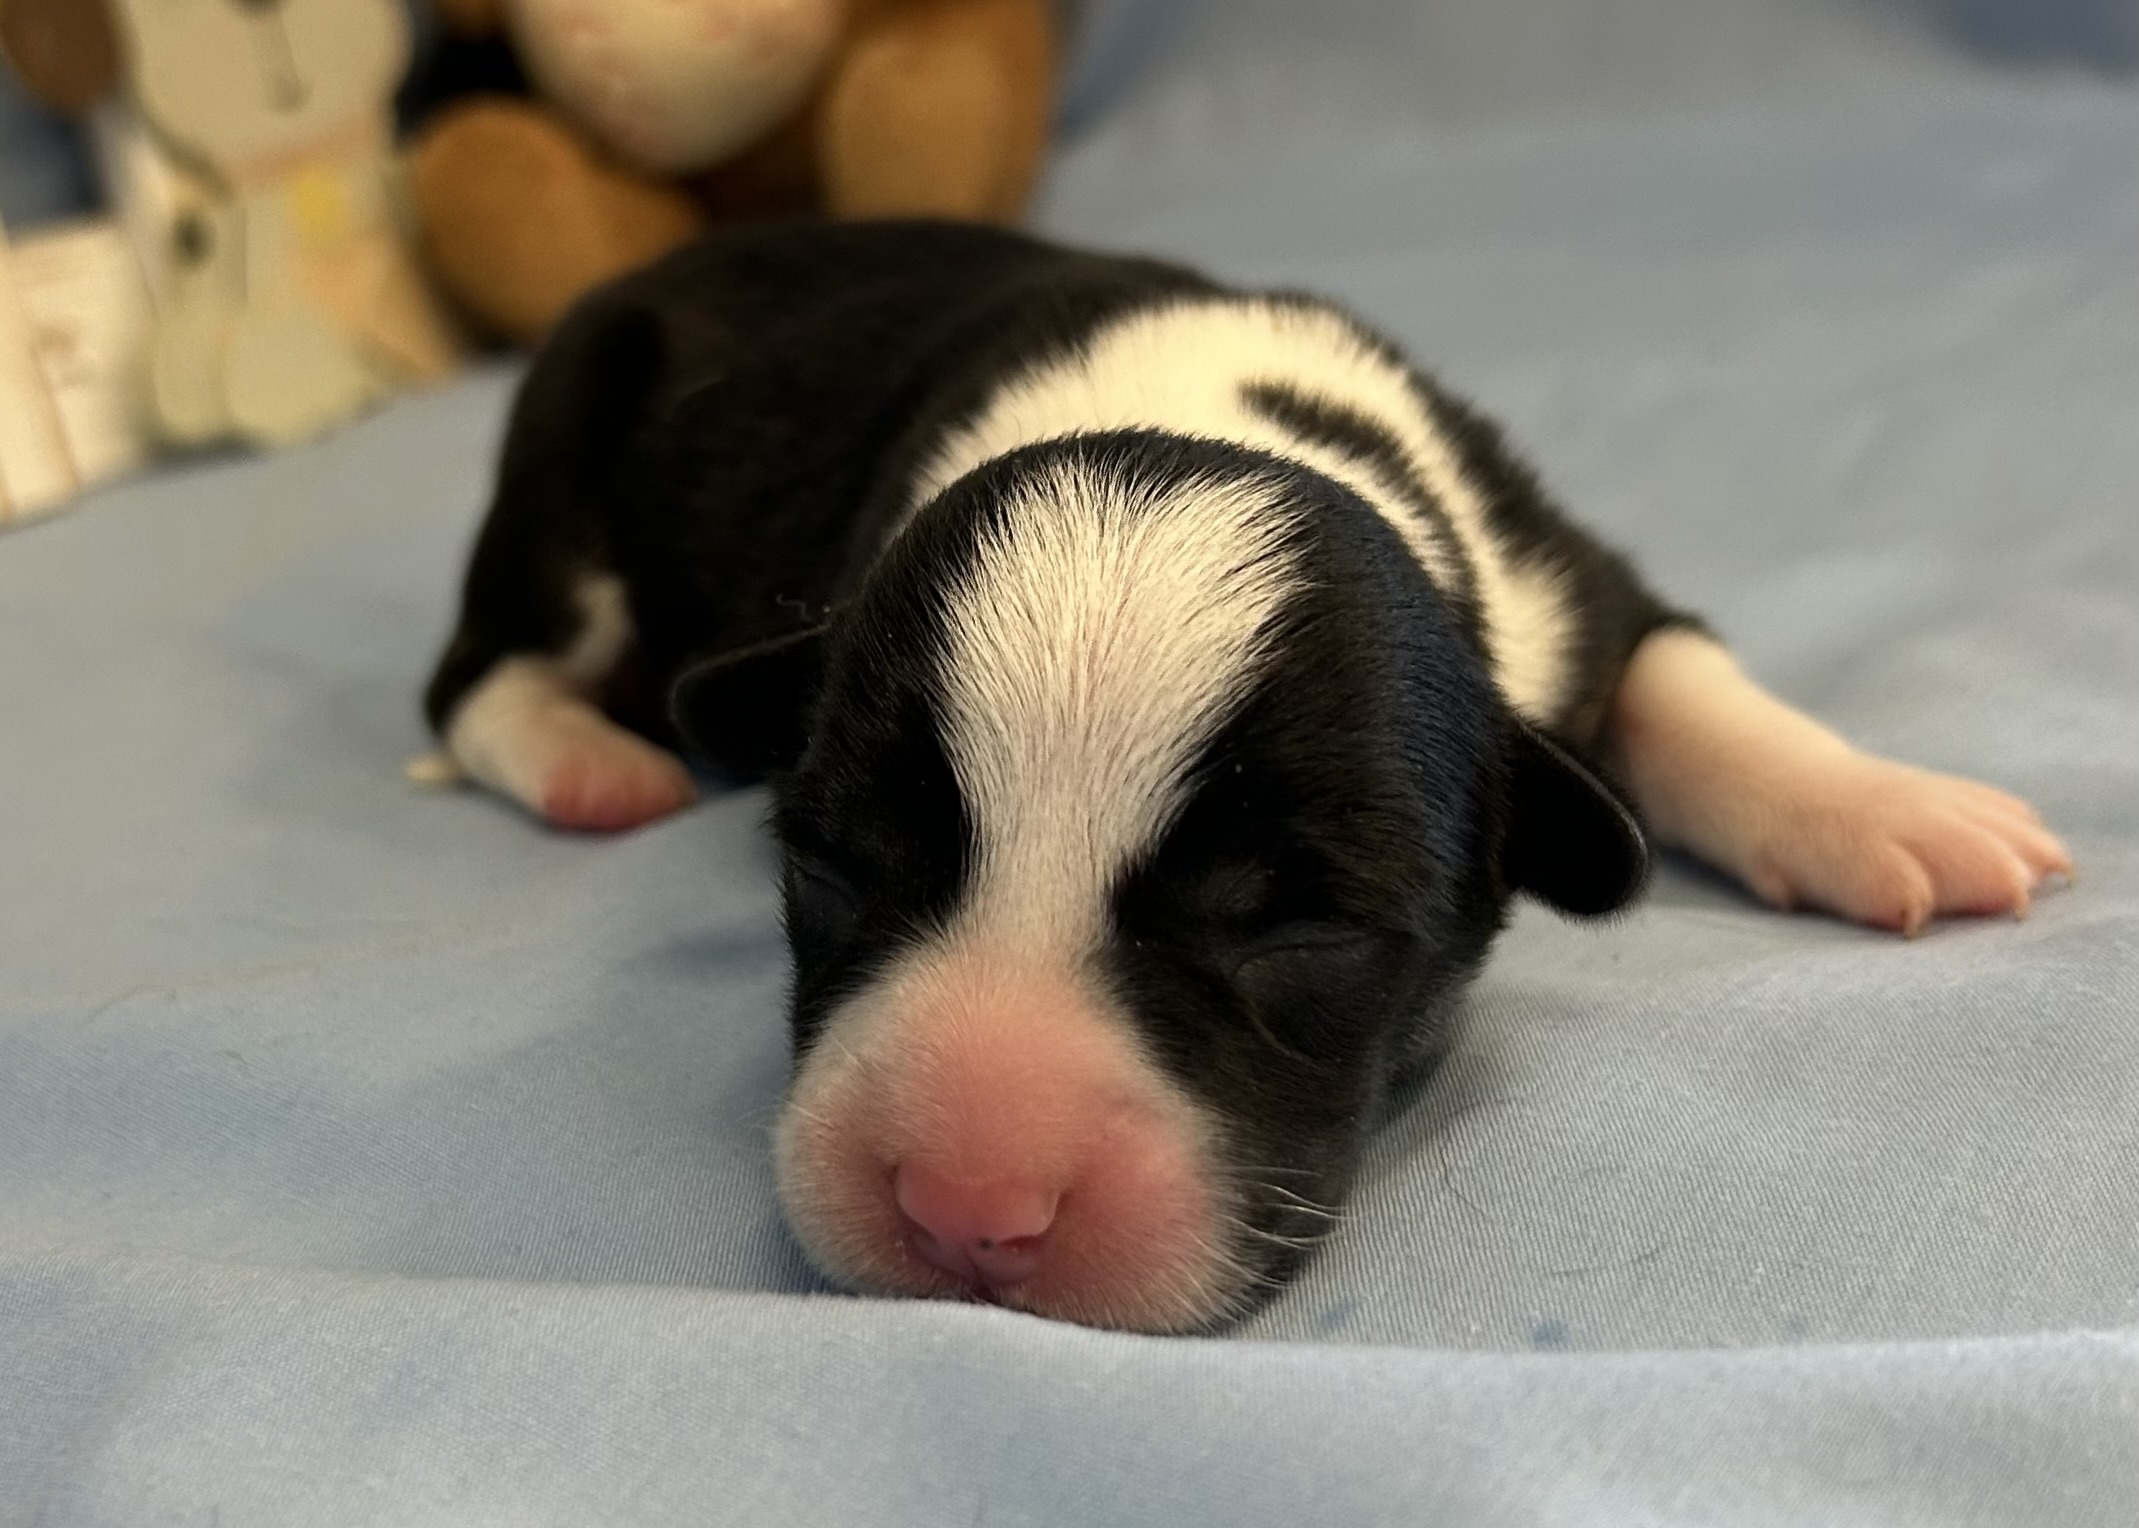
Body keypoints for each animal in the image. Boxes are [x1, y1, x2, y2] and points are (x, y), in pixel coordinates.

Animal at [419, 221, 2069, 1333]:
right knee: (479, 670)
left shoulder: (1560, 572)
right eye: (826, 867)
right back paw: (589, 765)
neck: (1206, 413)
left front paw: (1891, 809)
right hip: (566, 444)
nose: (967, 1212)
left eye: (1302, 932)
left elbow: (1683, 676)